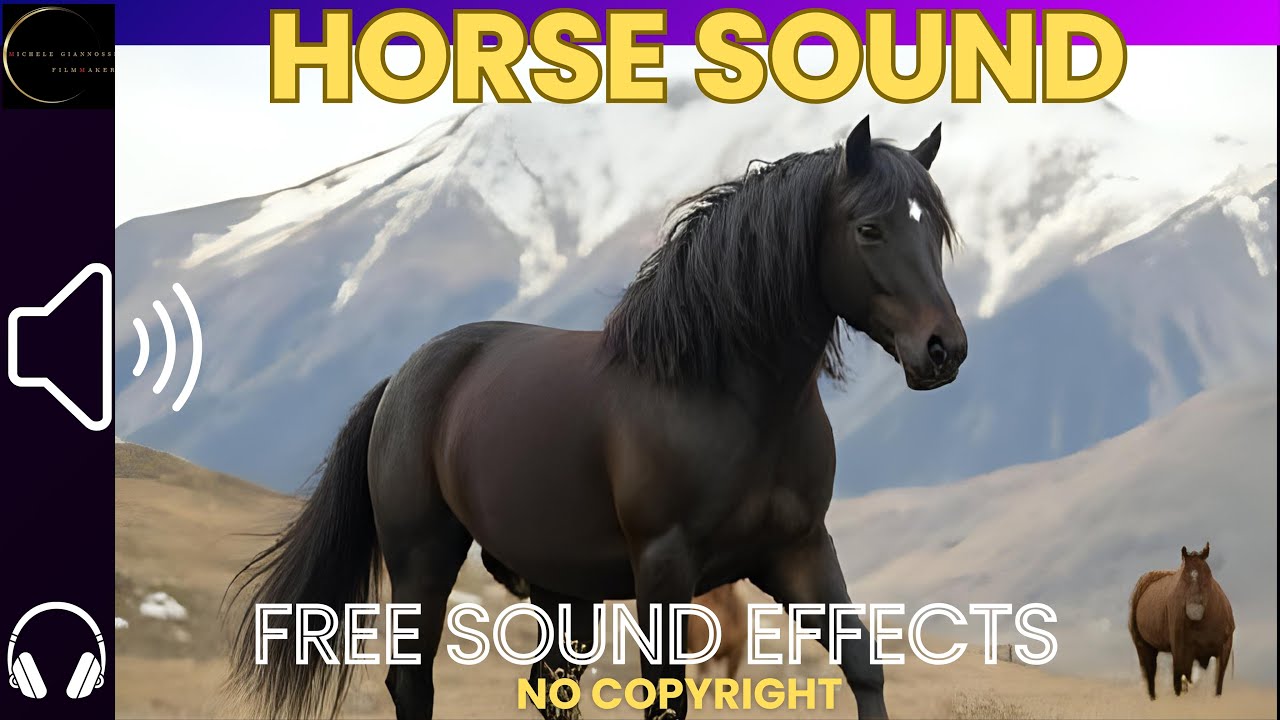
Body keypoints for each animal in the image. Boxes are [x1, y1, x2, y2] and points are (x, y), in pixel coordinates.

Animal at [226, 115, 966, 720]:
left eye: (934, 228)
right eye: (869, 229)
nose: (945, 349)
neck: (731, 398)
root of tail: (403, 378)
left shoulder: (799, 551)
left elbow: (863, 668)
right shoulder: (666, 569)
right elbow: (665, 699)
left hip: (557, 585)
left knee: (550, 686)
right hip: (423, 562)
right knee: (413, 684)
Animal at [1129, 543, 1236, 699]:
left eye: (1208, 576)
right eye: (1182, 581)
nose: (1194, 611)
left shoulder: (1224, 650)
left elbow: (1217, 685)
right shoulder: (1182, 651)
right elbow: (1179, 680)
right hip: (1143, 646)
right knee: (1150, 675)